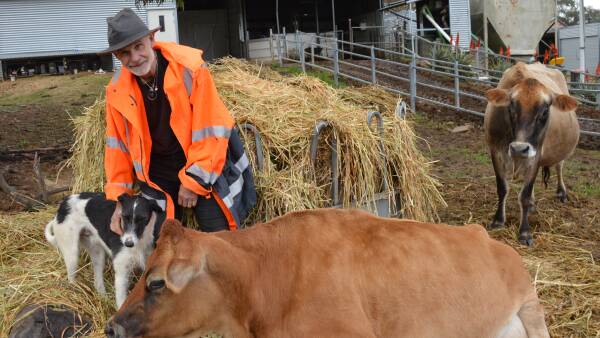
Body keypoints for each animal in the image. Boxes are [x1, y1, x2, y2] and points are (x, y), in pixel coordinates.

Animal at [486, 62, 580, 246]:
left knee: (559, 167)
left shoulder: (536, 154)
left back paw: (561, 193)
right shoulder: (495, 150)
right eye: (511, 108)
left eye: (544, 111)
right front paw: (498, 221)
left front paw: (524, 233)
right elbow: (502, 188)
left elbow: (525, 195)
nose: (519, 148)